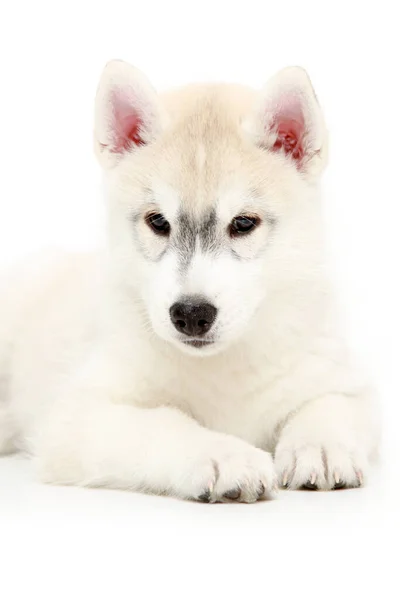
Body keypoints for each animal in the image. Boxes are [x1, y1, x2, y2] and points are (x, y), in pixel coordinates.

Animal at [0, 61, 378, 502]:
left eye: (243, 223)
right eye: (158, 222)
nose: (192, 314)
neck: (221, 366)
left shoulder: (345, 382)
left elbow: (329, 404)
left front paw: (319, 446)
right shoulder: (75, 416)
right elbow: (162, 422)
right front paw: (222, 455)